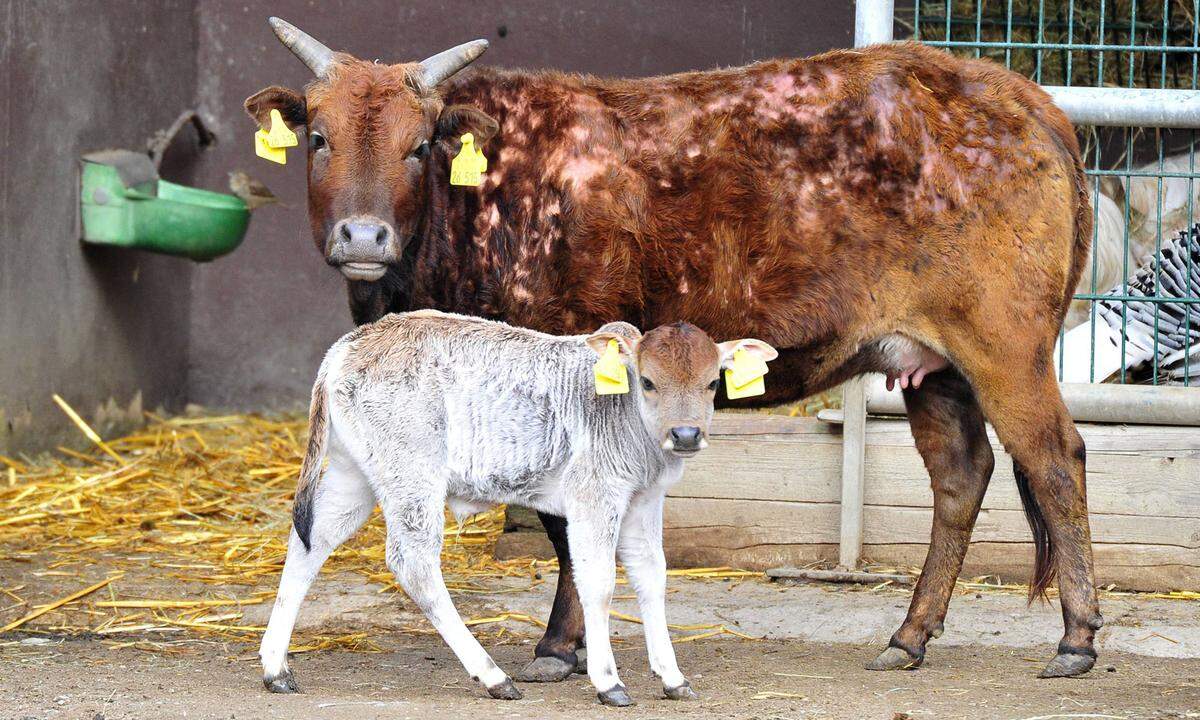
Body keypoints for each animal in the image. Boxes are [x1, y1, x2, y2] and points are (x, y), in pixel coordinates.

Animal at [246, 18, 1104, 686]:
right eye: (318, 137)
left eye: (419, 145)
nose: (364, 237)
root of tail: (1025, 99)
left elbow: (568, 526)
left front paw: (560, 646)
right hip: (930, 363)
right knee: (962, 474)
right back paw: (909, 636)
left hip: (1004, 344)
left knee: (1054, 458)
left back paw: (1077, 638)